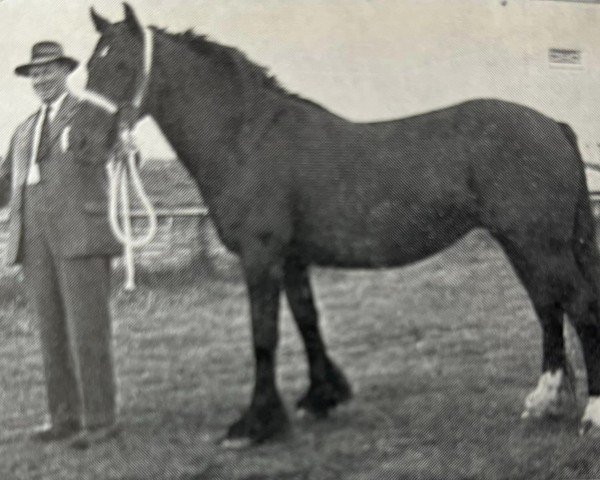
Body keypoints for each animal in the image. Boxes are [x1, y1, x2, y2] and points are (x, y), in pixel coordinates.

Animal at [85, 4, 600, 446]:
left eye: (120, 64)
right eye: (90, 65)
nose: (87, 140)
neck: (246, 139)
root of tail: (553, 124)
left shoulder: (261, 256)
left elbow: (264, 336)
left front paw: (254, 424)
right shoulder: (292, 259)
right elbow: (307, 321)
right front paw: (321, 397)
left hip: (538, 244)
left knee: (578, 306)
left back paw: (590, 415)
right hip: (521, 243)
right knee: (547, 308)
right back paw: (544, 403)